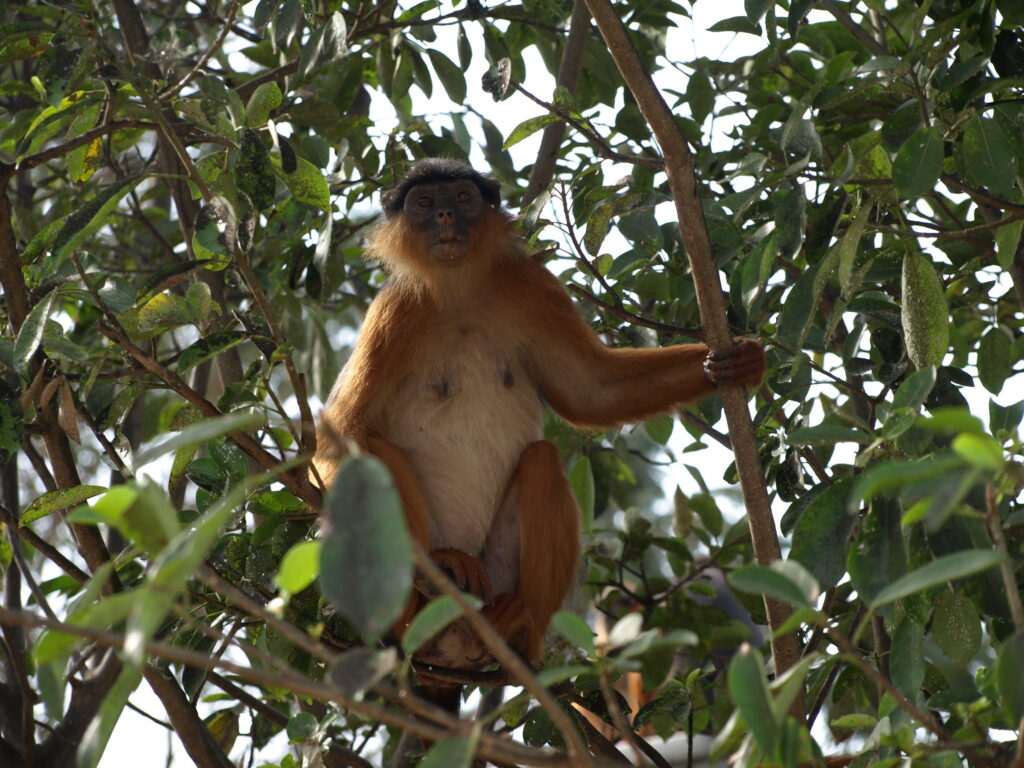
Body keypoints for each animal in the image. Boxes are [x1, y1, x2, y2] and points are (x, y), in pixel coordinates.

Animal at [313, 159, 770, 675]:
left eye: (463, 198)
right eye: (425, 203)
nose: (447, 215)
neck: (458, 296)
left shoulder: (529, 285)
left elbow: (592, 391)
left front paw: (733, 364)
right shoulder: (394, 312)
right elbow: (338, 436)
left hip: (496, 580)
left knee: (542, 459)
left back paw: (520, 626)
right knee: (372, 454)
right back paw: (433, 580)